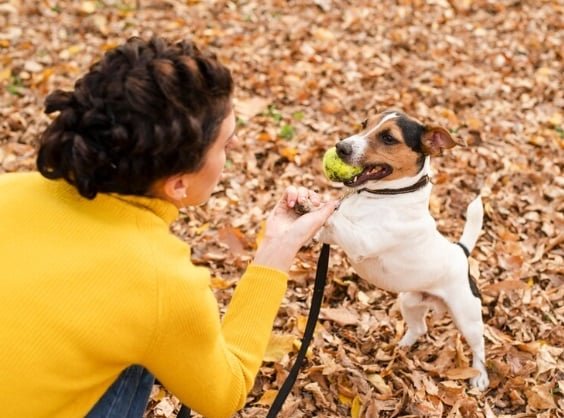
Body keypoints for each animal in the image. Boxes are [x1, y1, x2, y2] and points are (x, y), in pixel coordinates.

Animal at [318, 109, 490, 390]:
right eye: (364, 124)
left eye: (388, 138)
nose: (341, 146)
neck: (387, 196)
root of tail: (461, 252)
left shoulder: (361, 241)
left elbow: (336, 219)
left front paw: (310, 203)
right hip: (409, 301)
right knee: (419, 329)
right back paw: (401, 347)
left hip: (467, 316)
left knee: (479, 345)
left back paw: (480, 376)